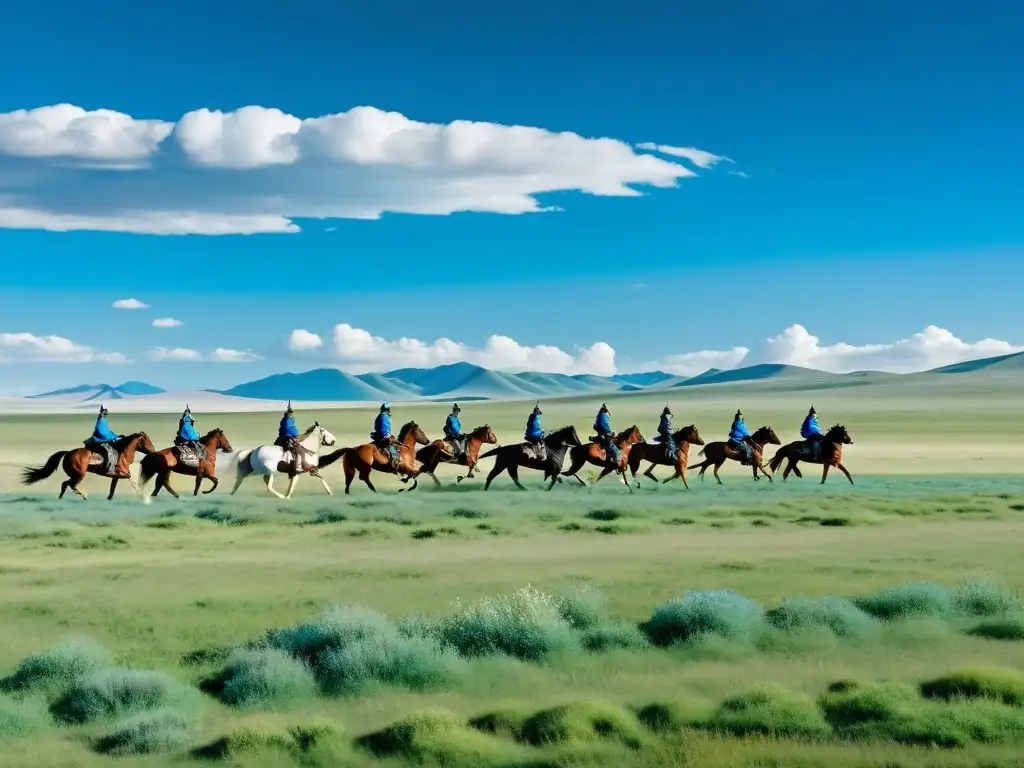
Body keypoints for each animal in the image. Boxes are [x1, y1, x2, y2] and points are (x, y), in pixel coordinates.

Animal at [20, 436, 155, 501]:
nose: (153, 451)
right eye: (147, 441)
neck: (123, 453)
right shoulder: (123, 474)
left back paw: (61, 498)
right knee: (70, 484)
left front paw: (109, 499)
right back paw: (84, 496)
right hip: (79, 474)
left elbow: (112, 489)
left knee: (65, 484)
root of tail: (67, 453)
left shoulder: (116, 476)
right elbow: (133, 482)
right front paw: (143, 497)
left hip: (75, 475)